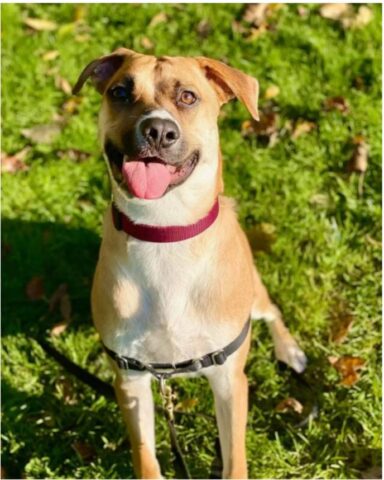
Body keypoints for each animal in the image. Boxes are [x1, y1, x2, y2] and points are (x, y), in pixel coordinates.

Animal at [73, 49, 306, 480]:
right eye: (120, 92)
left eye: (187, 97)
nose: (158, 131)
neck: (165, 233)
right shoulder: (130, 380)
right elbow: (146, 457)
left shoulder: (229, 380)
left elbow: (234, 460)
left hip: (254, 294)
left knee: (272, 311)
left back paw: (290, 350)